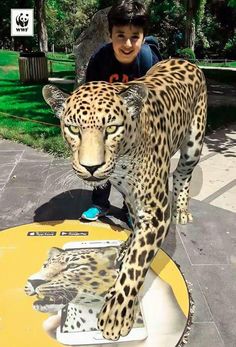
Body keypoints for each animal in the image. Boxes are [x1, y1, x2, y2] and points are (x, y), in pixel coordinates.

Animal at [42, 58, 206, 342]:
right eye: (73, 129)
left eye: (111, 128)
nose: (91, 167)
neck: (123, 160)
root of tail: (184, 60)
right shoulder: (130, 195)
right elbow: (135, 230)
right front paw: (126, 246)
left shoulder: (156, 211)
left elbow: (137, 264)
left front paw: (116, 314)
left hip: (193, 145)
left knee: (183, 173)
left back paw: (183, 209)